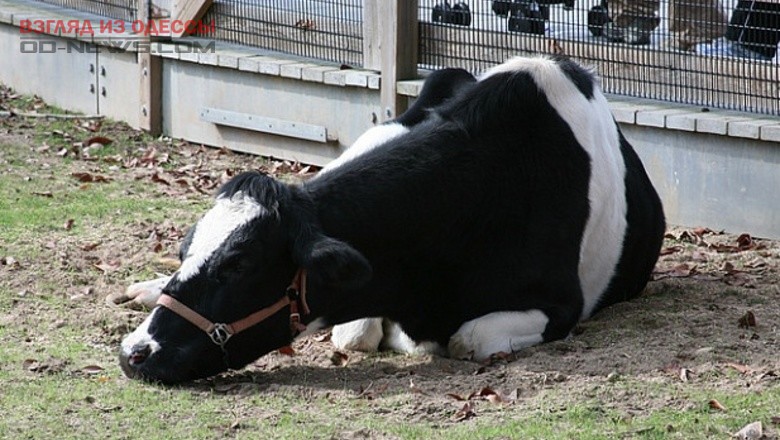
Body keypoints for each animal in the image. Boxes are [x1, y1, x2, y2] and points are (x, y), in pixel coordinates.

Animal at [120, 56, 664, 384]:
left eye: (238, 264)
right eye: (184, 250)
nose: (134, 352)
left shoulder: (561, 305)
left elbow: (468, 339)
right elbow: (353, 333)